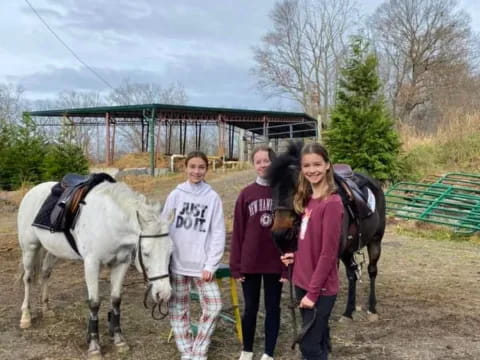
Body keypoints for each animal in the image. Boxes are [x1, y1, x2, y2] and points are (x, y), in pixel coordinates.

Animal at [17, 181, 174, 358]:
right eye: (146, 253)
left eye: (170, 252)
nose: (164, 294)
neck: (109, 221)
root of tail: (33, 190)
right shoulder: (92, 264)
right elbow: (94, 304)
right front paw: (94, 346)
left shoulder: (122, 264)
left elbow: (116, 300)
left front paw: (118, 339)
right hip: (29, 248)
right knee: (28, 279)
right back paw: (26, 316)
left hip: (53, 250)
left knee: (45, 273)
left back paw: (47, 309)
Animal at [266, 141, 386, 320]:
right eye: (272, 185)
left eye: (298, 184)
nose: (280, 234)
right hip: (347, 250)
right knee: (352, 274)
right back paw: (348, 311)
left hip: (375, 241)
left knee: (372, 270)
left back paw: (372, 307)